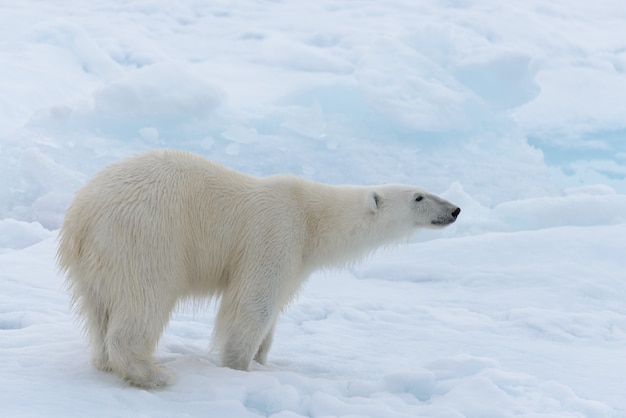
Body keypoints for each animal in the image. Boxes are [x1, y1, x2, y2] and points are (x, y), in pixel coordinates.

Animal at [58, 149, 458, 386]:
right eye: (419, 197)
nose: (454, 209)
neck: (312, 217)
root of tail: (81, 215)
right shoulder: (275, 235)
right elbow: (254, 304)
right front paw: (240, 367)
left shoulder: (298, 259)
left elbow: (274, 309)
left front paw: (263, 358)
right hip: (146, 235)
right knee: (144, 298)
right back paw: (152, 373)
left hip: (93, 263)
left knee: (98, 308)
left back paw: (106, 362)